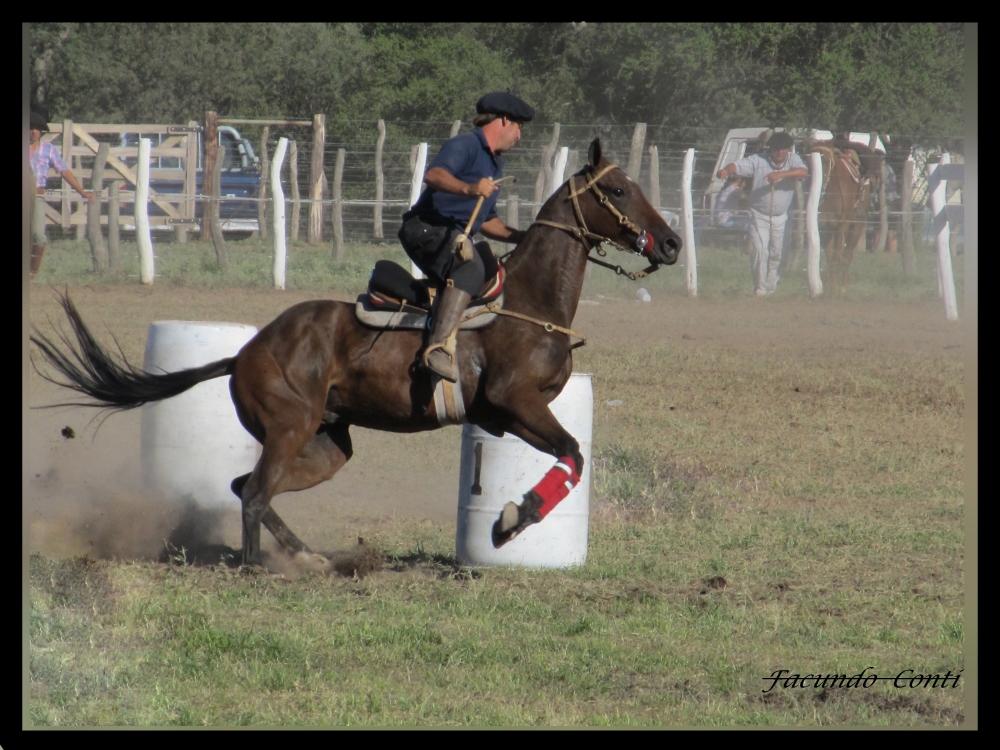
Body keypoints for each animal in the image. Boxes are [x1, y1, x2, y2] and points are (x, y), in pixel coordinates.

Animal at [33, 138, 688, 568]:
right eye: (619, 189)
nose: (672, 243)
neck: (529, 301)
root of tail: (245, 352)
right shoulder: (517, 401)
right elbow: (573, 454)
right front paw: (510, 521)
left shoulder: (511, 415)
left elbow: (572, 455)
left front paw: (511, 518)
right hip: (291, 428)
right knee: (254, 494)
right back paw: (255, 567)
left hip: (326, 445)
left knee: (248, 487)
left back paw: (305, 557)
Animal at [808, 138, 888, 294]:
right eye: (807, 160)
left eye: (826, 160)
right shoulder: (824, 227)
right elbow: (830, 256)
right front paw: (829, 285)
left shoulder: (841, 226)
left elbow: (838, 256)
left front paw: (835, 288)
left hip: (856, 226)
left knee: (848, 255)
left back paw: (844, 286)